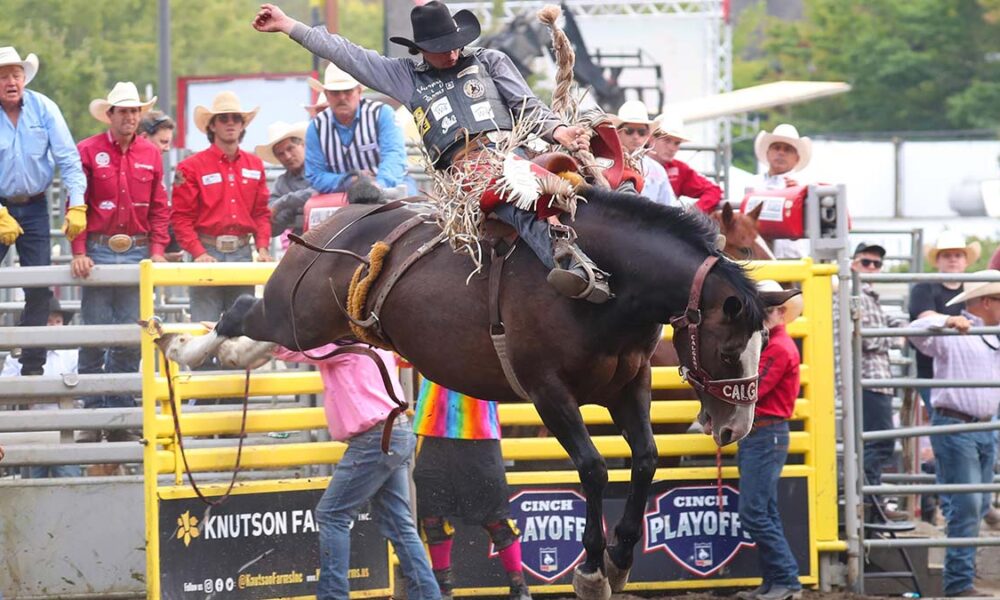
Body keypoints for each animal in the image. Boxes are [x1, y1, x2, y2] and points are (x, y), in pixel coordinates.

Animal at [160, 185, 772, 596]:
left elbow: (644, 459)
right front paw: (592, 571)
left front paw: (621, 561)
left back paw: (227, 356)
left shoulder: (629, 385)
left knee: (260, 335)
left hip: (321, 326)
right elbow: (595, 469)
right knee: (244, 309)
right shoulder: (548, 391)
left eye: (762, 346)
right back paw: (184, 347)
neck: (604, 282)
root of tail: (339, 219)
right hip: (299, 314)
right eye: (726, 351)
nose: (734, 427)